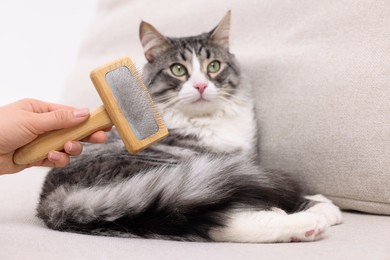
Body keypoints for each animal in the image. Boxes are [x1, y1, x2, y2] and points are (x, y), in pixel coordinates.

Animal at [36, 11, 342, 244]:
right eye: (178, 70)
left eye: (214, 66)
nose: (201, 86)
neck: (210, 120)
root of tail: (52, 198)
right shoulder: (220, 163)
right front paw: (322, 206)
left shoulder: (241, 162)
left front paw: (317, 198)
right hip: (180, 175)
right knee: (220, 221)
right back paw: (304, 223)